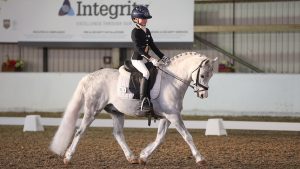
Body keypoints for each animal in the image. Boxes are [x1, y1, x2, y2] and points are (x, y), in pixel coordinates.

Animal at [50, 52, 217, 167]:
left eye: (211, 75)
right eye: (202, 75)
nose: (203, 95)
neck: (171, 81)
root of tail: (89, 76)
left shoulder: (168, 116)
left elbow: (160, 138)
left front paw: (143, 156)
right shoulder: (173, 116)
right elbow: (187, 136)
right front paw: (200, 159)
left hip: (116, 112)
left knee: (118, 134)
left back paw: (132, 158)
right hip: (93, 110)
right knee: (80, 131)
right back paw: (68, 158)